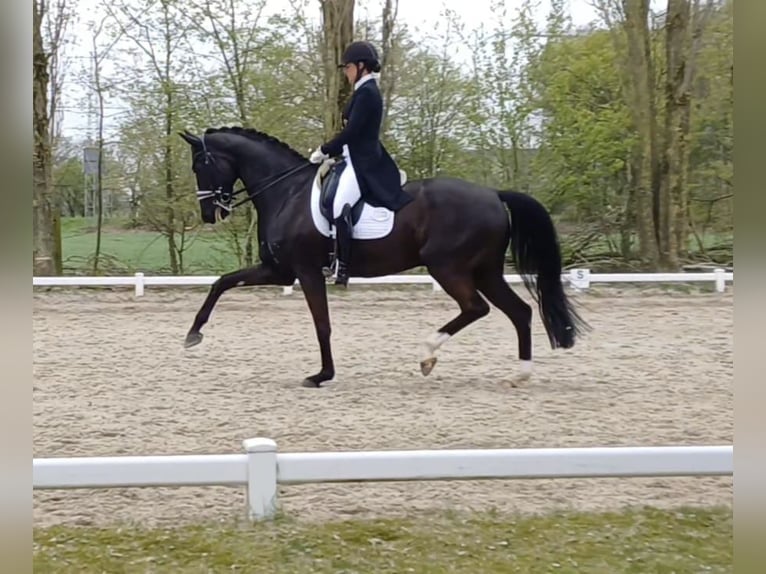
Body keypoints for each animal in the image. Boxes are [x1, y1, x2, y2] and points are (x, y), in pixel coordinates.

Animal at [178, 126, 589, 388]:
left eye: (200, 165)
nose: (209, 214)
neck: (286, 192)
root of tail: (493, 193)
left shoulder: (306, 271)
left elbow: (322, 324)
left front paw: (322, 375)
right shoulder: (279, 271)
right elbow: (222, 282)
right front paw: (193, 334)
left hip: (449, 268)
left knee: (477, 308)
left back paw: (428, 355)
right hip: (485, 271)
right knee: (519, 311)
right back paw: (520, 374)